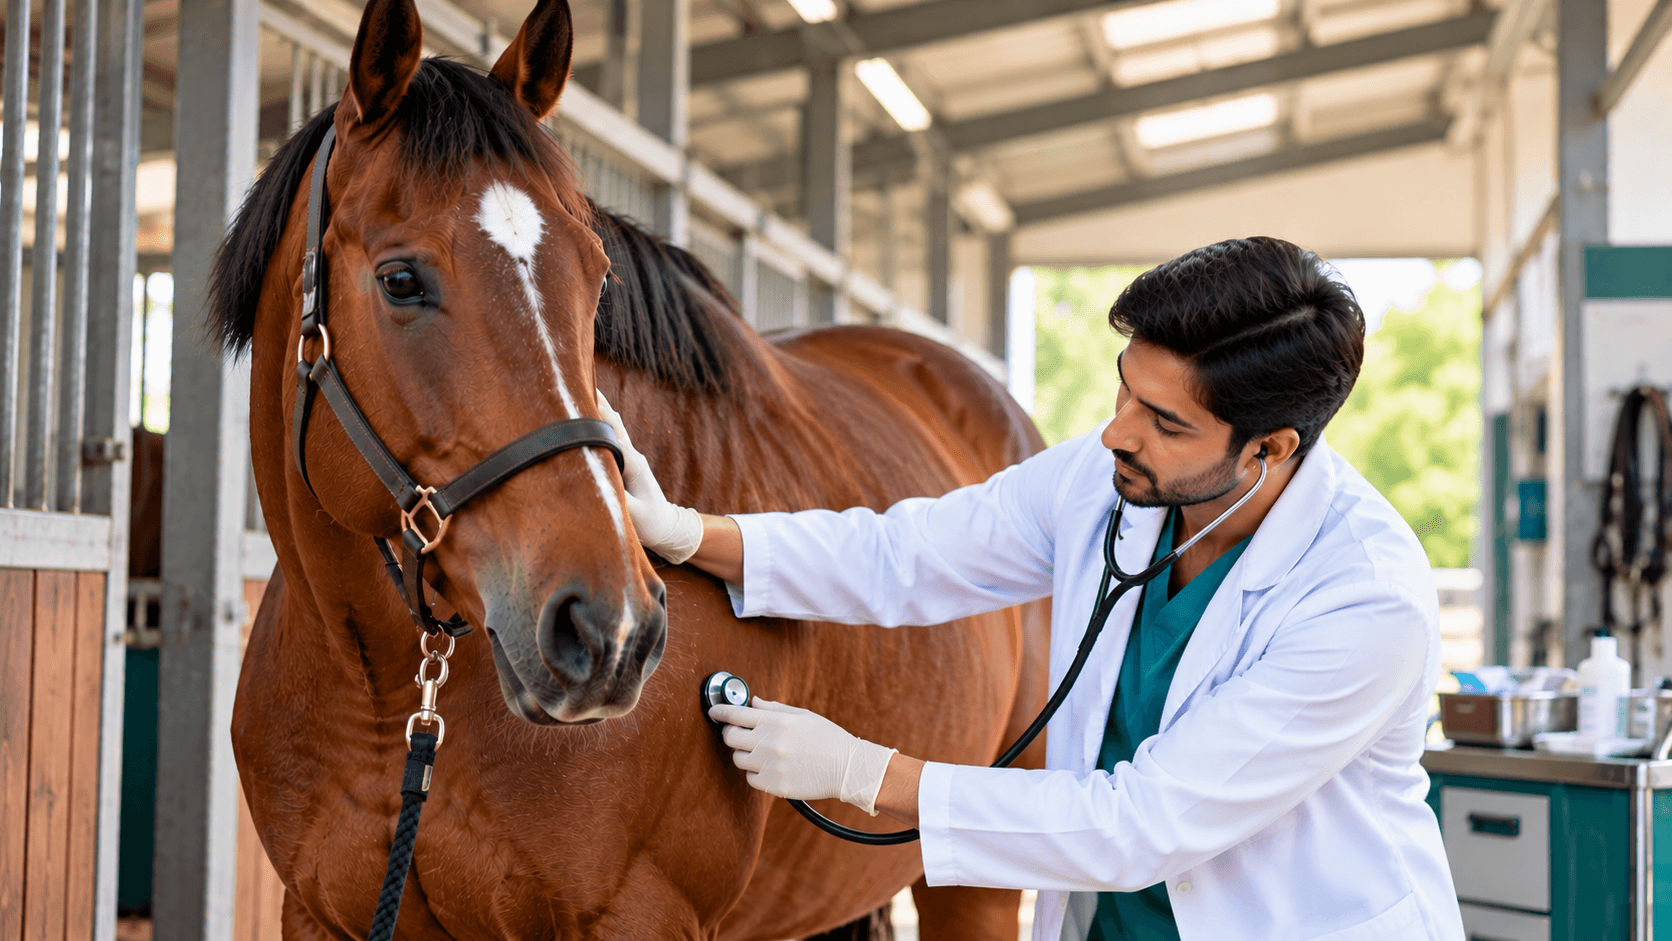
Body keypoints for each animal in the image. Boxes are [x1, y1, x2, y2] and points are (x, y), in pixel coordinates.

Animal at [215, 0, 1050, 935]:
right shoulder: (319, 911)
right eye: (399, 280)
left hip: (973, 880)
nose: (609, 631)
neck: (389, 689)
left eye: (597, 277)